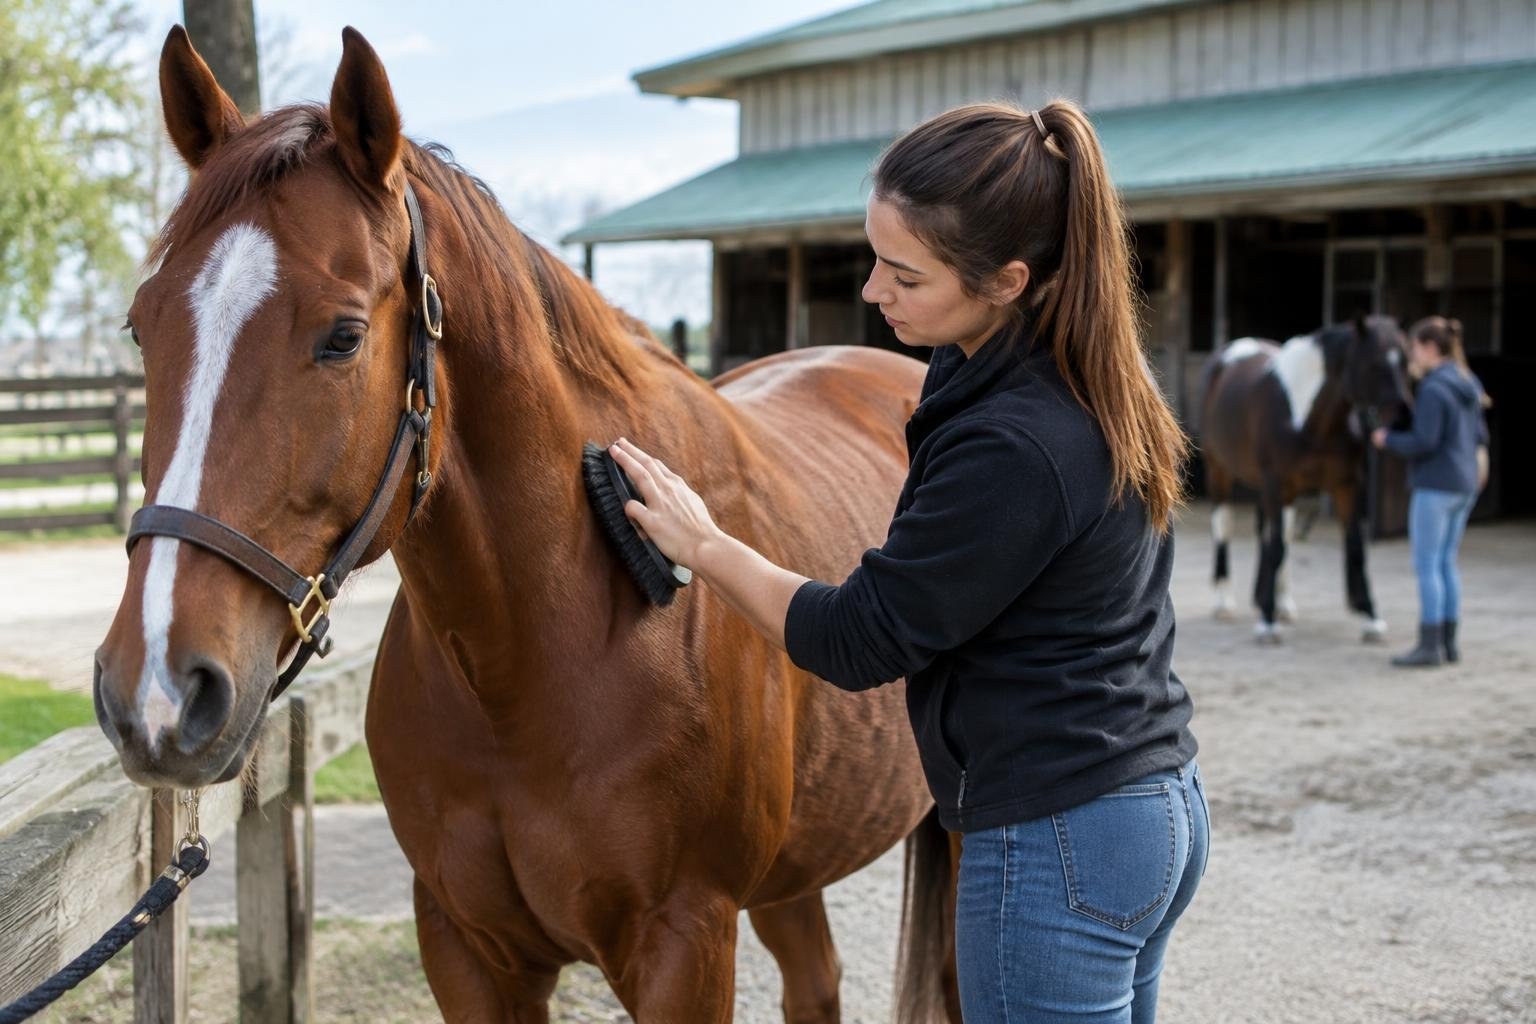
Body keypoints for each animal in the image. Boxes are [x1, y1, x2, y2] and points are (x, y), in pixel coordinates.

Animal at [1198, 317, 1412, 643]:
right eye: (1373, 363)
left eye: (1404, 360)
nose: (1401, 419)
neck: (1309, 417)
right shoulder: (1276, 485)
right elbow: (1276, 547)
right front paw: (1267, 623)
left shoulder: (1346, 486)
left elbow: (1354, 548)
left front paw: (1371, 617)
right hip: (1219, 471)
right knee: (1224, 527)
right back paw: (1225, 602)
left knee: (1276, 533)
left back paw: (1279, 601)